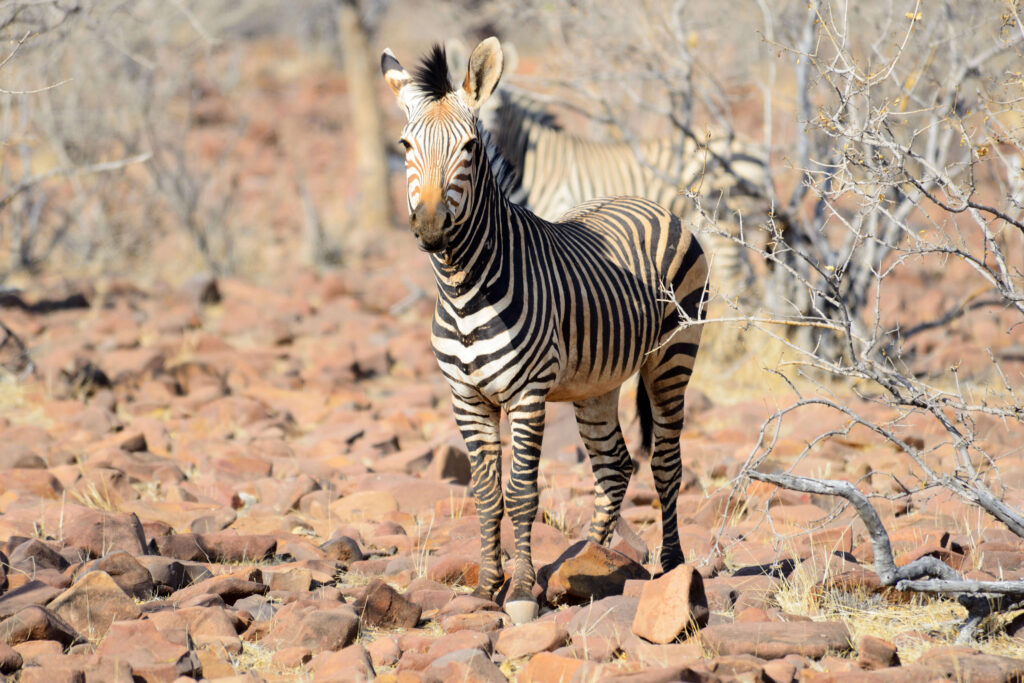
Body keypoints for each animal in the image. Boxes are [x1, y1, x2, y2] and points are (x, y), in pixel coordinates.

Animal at [380, 37, 708, 626]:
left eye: (470, 147)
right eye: (405, 144)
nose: (433, 227)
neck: (463, 290)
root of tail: (649, 202)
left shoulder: (528, 394)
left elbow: (521, 493)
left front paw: (522, 592)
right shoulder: (465, 397)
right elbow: (486, 493)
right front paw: (487, 586)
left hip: (673, 358)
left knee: (666, 462)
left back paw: (671, 565)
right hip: (597, 383)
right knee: (615, 466)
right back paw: (591, 558)